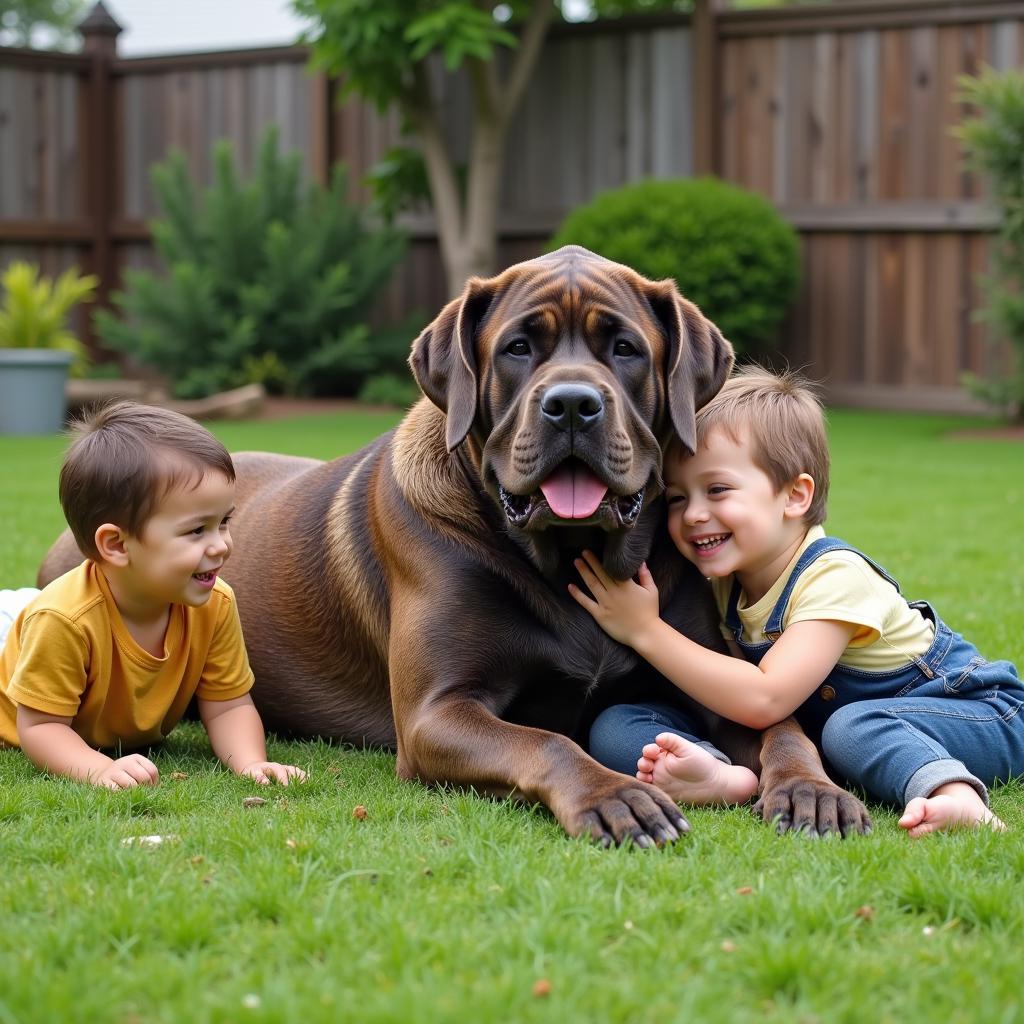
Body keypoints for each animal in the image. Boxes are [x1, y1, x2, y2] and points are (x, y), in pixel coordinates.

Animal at [41, 245, 872, 839]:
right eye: (518, 348)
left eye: (626, 348)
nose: (573, 404)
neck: (568, 557)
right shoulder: (437, 714)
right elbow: (545, 742)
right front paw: (612, 795)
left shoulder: (714, 674)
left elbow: (783, 729)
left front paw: (811, 789)